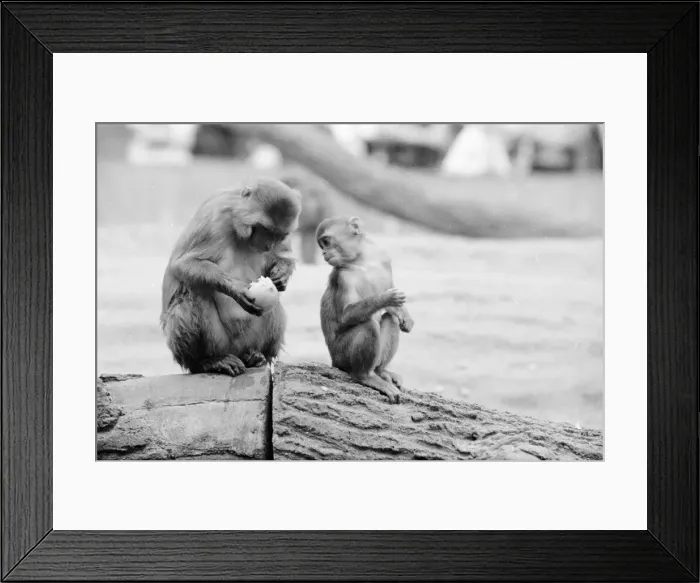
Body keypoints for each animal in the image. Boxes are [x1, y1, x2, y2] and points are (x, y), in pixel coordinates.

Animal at [160, 177, 302, 377]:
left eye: (279, 235)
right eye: (265, 230)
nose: (268, 244)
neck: (236, 223)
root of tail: (237, 352)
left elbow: (283, 255)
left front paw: (282, 273)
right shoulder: (214, 217)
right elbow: (182, 263)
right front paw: (237, 289)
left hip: (249, 339)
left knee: (274, 304)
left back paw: (258, 356)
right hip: (220, 343)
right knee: (194, 292)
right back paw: (207, 362)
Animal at [317, 216, 414, 404]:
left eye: (326, 242)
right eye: (323, 245)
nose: (324, 253)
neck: (361, 260)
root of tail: (333, 361)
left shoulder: (383, 259)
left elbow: (392, 305)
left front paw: (405, 316)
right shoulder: (343, 276)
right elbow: (347, 315)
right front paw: (385, 298)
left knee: (390, 319)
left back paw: (380, 371)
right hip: (341, 355)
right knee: (367, 325)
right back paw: (365, 376)